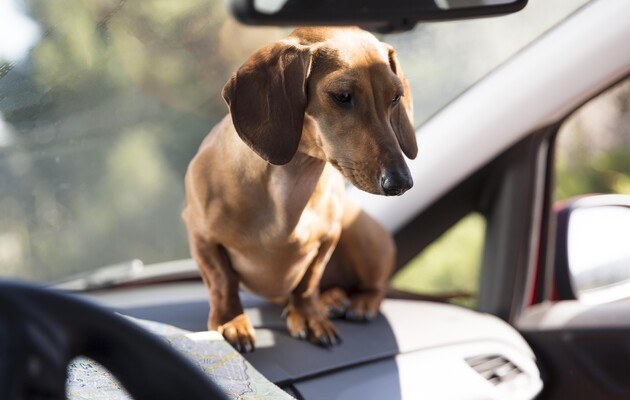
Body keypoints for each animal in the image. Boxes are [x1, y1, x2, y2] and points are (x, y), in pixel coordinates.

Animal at [184, 26, 420, 352]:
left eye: (395, 97)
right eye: (342, 96)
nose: (401, 183)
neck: (287, 190)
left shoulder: (328, 237)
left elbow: (308, 282)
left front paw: (309, 317)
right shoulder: (201, 236)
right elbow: (222, 281)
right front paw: (231, 321)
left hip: (362, 233)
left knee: (377, 286)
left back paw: (357, 302)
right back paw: (332, 297)